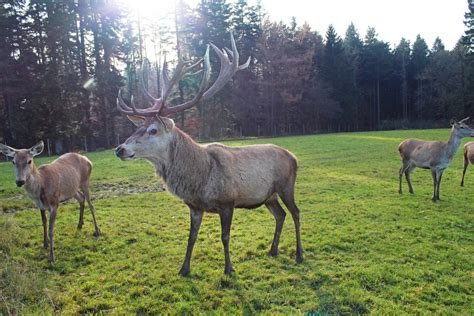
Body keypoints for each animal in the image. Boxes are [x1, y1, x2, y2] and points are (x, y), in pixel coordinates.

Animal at [116, 34, 306, 276]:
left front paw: (229, 269)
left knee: (296, 213)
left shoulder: (228, 201)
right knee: (280, 215)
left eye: (153, 130)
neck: (200, 179)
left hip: (286, 185)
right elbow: (191, 237)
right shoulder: (195, 207)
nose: (120, 149)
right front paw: (184, 269)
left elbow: (225, 237)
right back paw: (272, 250)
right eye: (137, 128)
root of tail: (293, 156)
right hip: (268, 195)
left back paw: (299, 254)